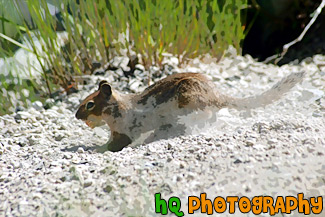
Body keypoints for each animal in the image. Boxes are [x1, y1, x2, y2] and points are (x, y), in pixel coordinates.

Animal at [75, 72, 304, 152]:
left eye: (89, 104)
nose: (76, 116)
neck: (118, 107)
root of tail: (217, 95)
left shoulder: (124, 132)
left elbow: (114, 145)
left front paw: (96, 149)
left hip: (190, 99)